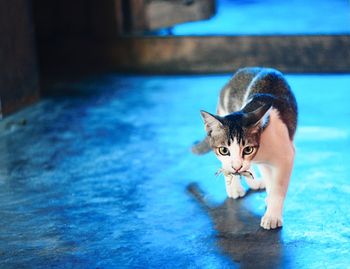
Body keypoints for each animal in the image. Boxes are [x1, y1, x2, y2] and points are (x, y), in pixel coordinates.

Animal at [194, 66, 298, 228]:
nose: (236, 166)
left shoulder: (286, 156)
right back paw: (236, 187)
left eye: (248, 149)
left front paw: (272, 213)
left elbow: (277, 186)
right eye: (224, 150)